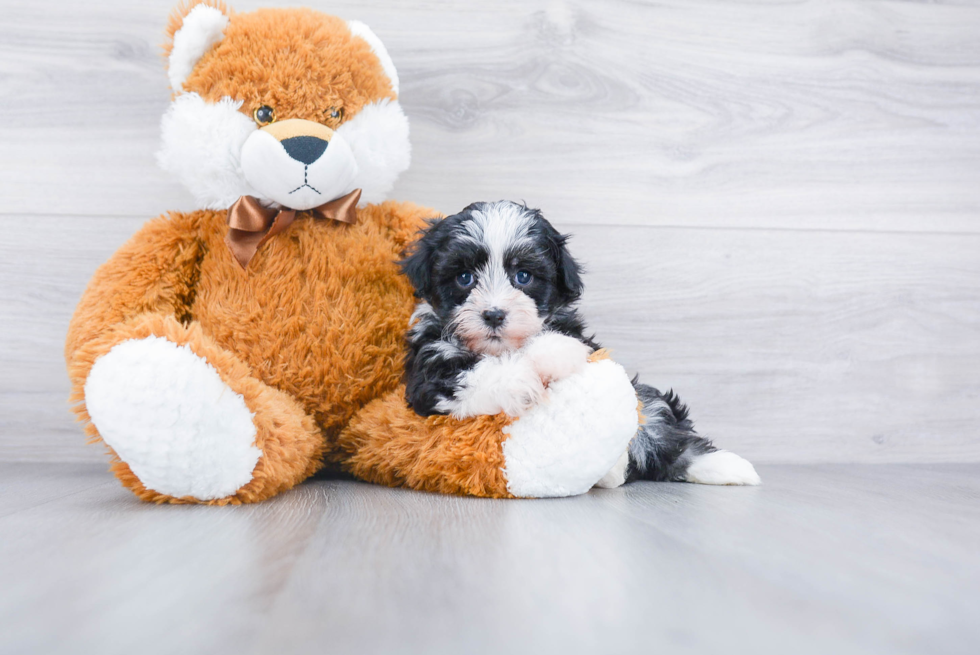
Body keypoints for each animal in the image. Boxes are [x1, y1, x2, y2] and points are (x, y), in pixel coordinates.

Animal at [396, 200, 756, 486]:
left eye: (523, 276)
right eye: (464, 277)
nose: (494, 314)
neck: (503, 348)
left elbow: (567, 347)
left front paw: (557, 353)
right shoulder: (429, 371)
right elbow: (471, 373)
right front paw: (521, 380)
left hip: (648, 409)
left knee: (657, 420)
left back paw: (726, 466)